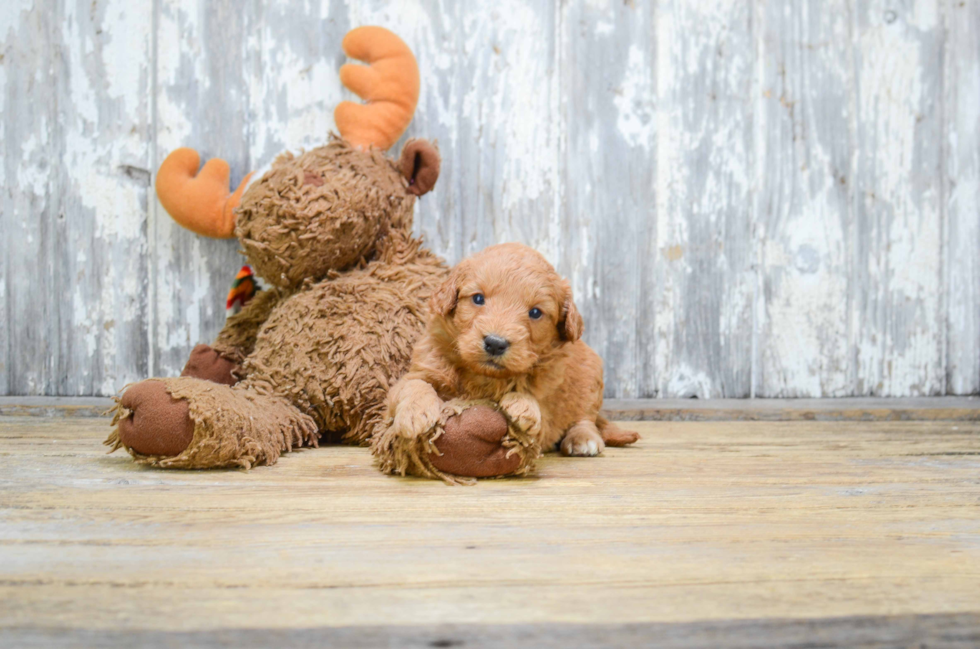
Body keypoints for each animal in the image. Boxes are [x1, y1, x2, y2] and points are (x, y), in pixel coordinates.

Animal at [386, 240, 640, 458]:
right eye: (478, 298)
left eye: (535, 312)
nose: (495, 343)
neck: (483, 376)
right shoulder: (420, 369)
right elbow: (415, 385)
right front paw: (414, 413)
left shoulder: (549, 402)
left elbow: (533, 403)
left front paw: (523, 405)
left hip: (591, 378)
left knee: (585, 417)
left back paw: (583, 439)